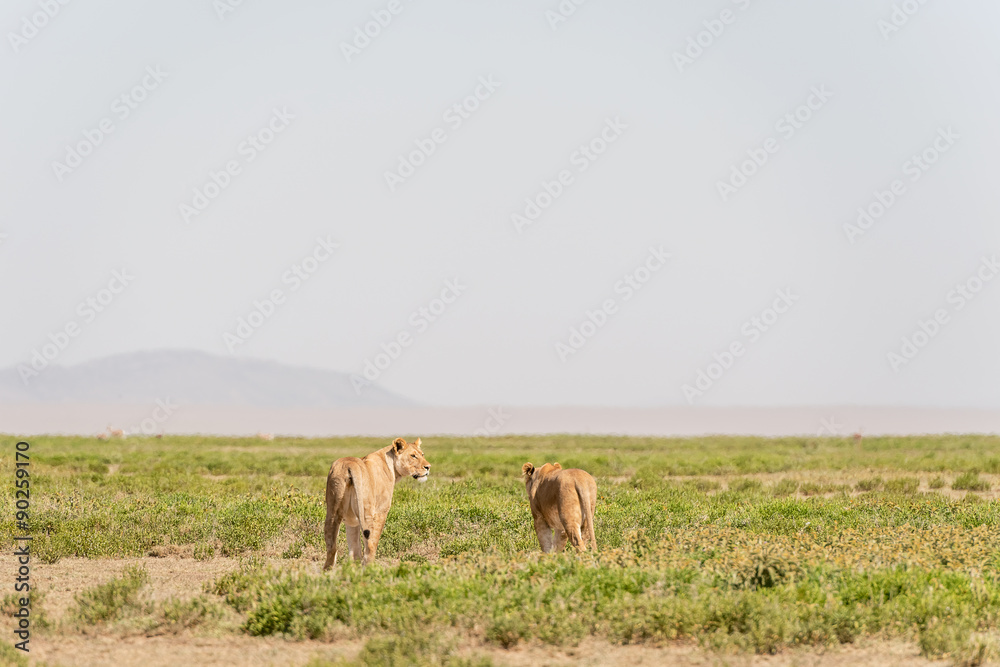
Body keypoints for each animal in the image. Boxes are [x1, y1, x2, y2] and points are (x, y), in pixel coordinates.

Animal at [323, 437, 430, 568]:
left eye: (422, 454)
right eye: (413, 456)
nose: (428, 467)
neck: (391, 465)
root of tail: (350, 464)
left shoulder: (352, 520)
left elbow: (354, 550)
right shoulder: (381, 511)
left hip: (333, 509)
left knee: (331, 545)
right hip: (367, 512)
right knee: (370, 545)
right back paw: (371, 569)